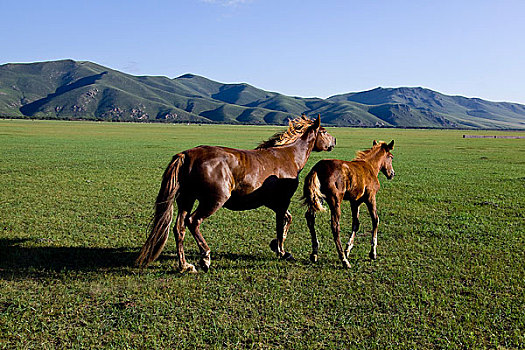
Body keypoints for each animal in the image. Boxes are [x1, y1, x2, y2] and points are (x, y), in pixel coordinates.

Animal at [134, 115, 332, 274]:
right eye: (323, 131)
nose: (334, 141)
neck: (288, 155)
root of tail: (187, 155)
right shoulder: (282, 200)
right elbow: (281, 223)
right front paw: (282, 251)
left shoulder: (272, 202)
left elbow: (286, 220)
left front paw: (277, 245)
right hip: (213, 201)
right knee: (193, 221)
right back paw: (205, 257)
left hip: (186, 199)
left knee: (179, 228)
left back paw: (185, 265)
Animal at [302, 139, 392, 268]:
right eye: (391, 157)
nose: (392, 174)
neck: (369, 166)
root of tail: (317, 168)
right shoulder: (370, 197)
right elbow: (375, 220)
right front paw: (373, 252)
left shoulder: (355, 201)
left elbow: (356, 223)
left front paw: (348, 249)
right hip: (335, 201)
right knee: (335, 226)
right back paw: (344, 260)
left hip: (317, 199)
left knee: (310, 218)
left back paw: (315, 253)